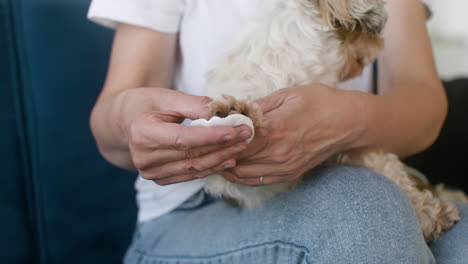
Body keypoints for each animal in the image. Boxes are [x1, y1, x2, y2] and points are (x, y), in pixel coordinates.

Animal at [201, 0, 460, 242]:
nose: (380, 42)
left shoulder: (344, 138)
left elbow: (388, 168)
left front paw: (430, 213)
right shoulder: (235, 184)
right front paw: (236, 114)